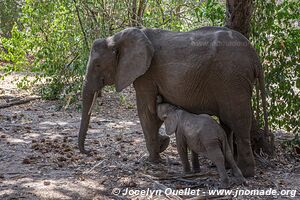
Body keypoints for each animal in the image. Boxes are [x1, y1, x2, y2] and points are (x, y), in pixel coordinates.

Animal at [78, 26, 268, 177]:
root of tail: (256, 58)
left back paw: (247, 173)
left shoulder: (146, 75)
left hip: (232, 80)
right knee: (227, 124)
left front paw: (153, 160)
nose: (89, 151)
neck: (117, 38)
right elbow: (154, 109)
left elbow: (147, 112)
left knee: (239, 123)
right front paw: (161, 145)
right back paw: (227, 167)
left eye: (97, 65)